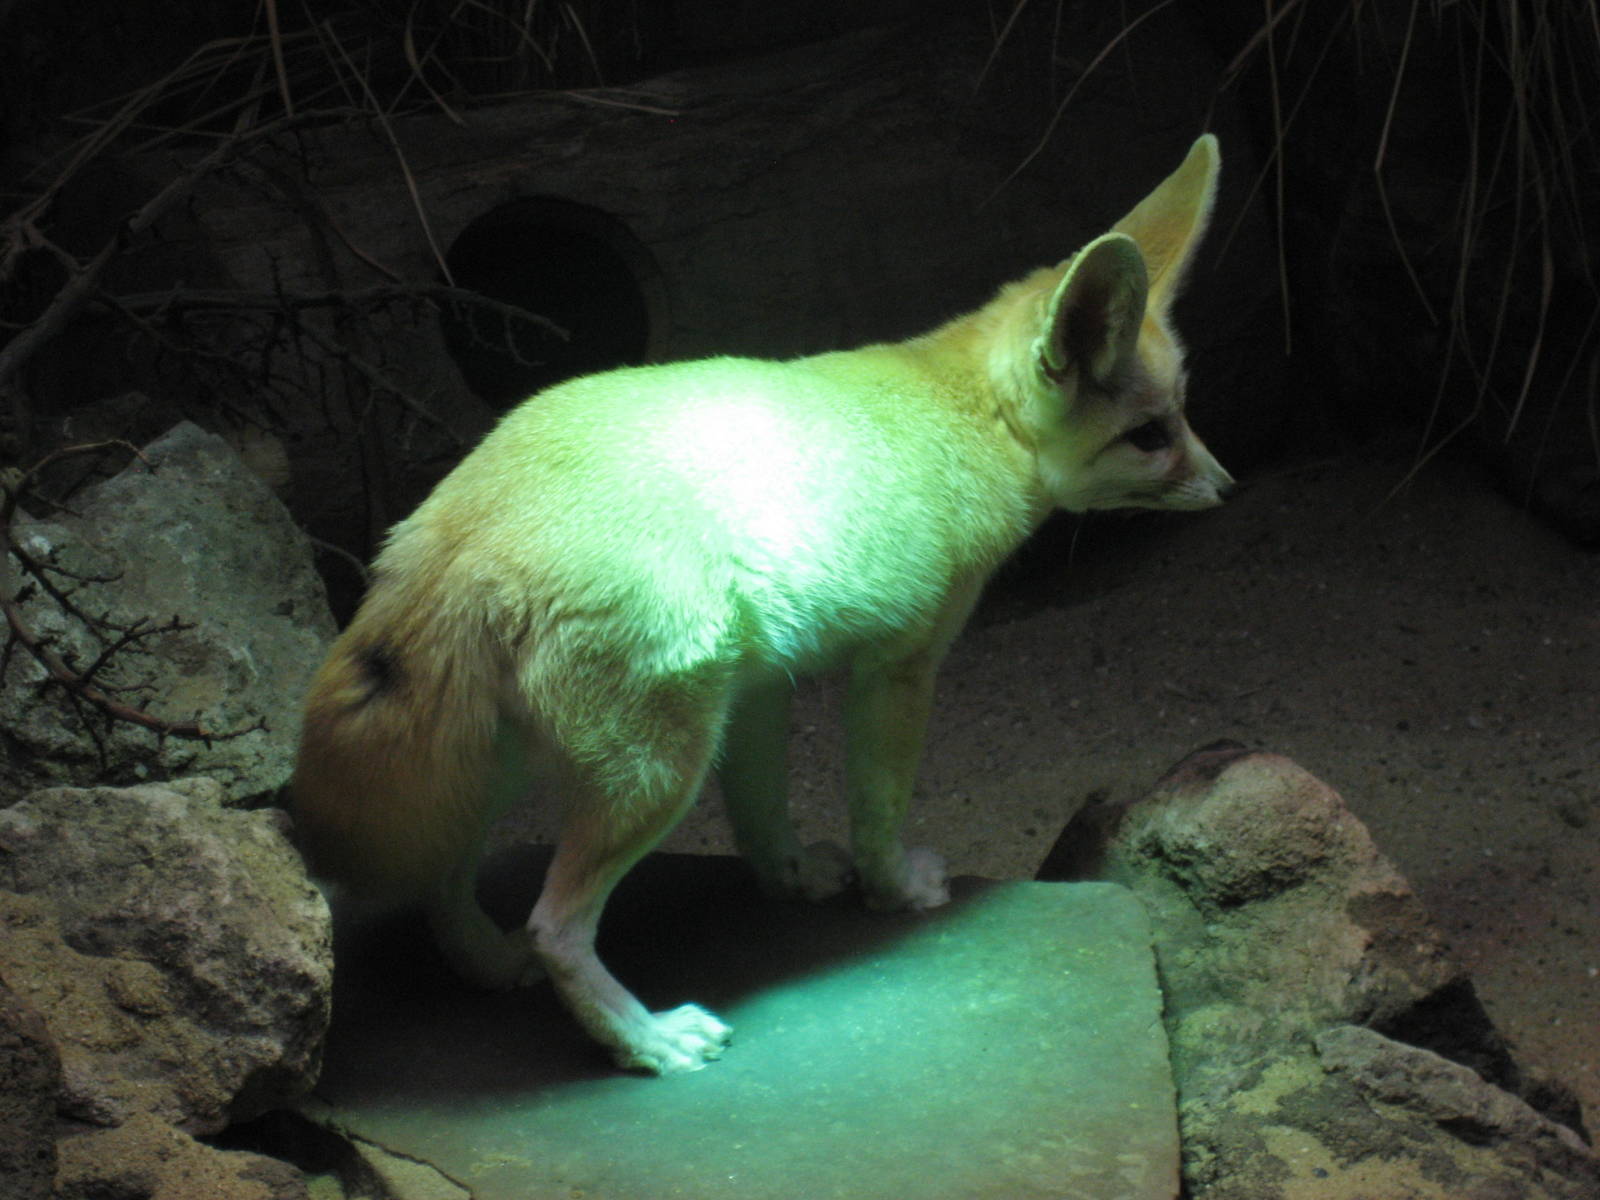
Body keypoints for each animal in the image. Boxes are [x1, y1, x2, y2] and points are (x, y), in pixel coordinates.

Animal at [291, 134, 1231, 1074]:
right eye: (1152, 437)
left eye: (1187, 415)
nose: (1226, 486)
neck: (966, 409)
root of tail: (462, 533)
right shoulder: (901, 668)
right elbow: (877, 807)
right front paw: (892, 890)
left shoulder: (758, 688)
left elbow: (760, 809)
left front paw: (792, 882)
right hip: (656, 767)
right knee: (555, 924)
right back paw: (647, 1041)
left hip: (518, 758)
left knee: (443, 882)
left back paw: (490, 964)